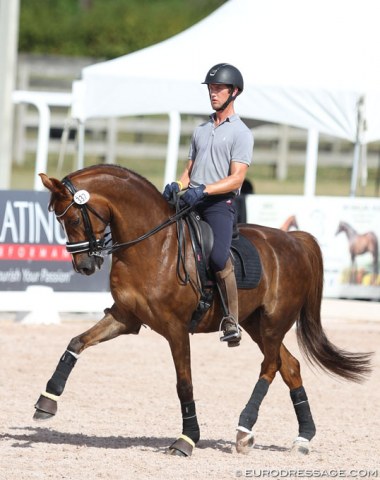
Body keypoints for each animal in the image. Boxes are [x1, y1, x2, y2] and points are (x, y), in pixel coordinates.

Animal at [34, 166, 372, 458]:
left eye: (73, 218)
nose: (84, 266)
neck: (153, 245)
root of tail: (295, 240)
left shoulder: (175, 328)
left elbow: (184, 384)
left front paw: (187, 439)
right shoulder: (125, 318)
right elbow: (77, 342)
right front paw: (47, 400)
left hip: (274, 324)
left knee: (271, 366)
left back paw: (244, 429)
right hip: (255, 325)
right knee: (290, 366)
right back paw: (302, 438)